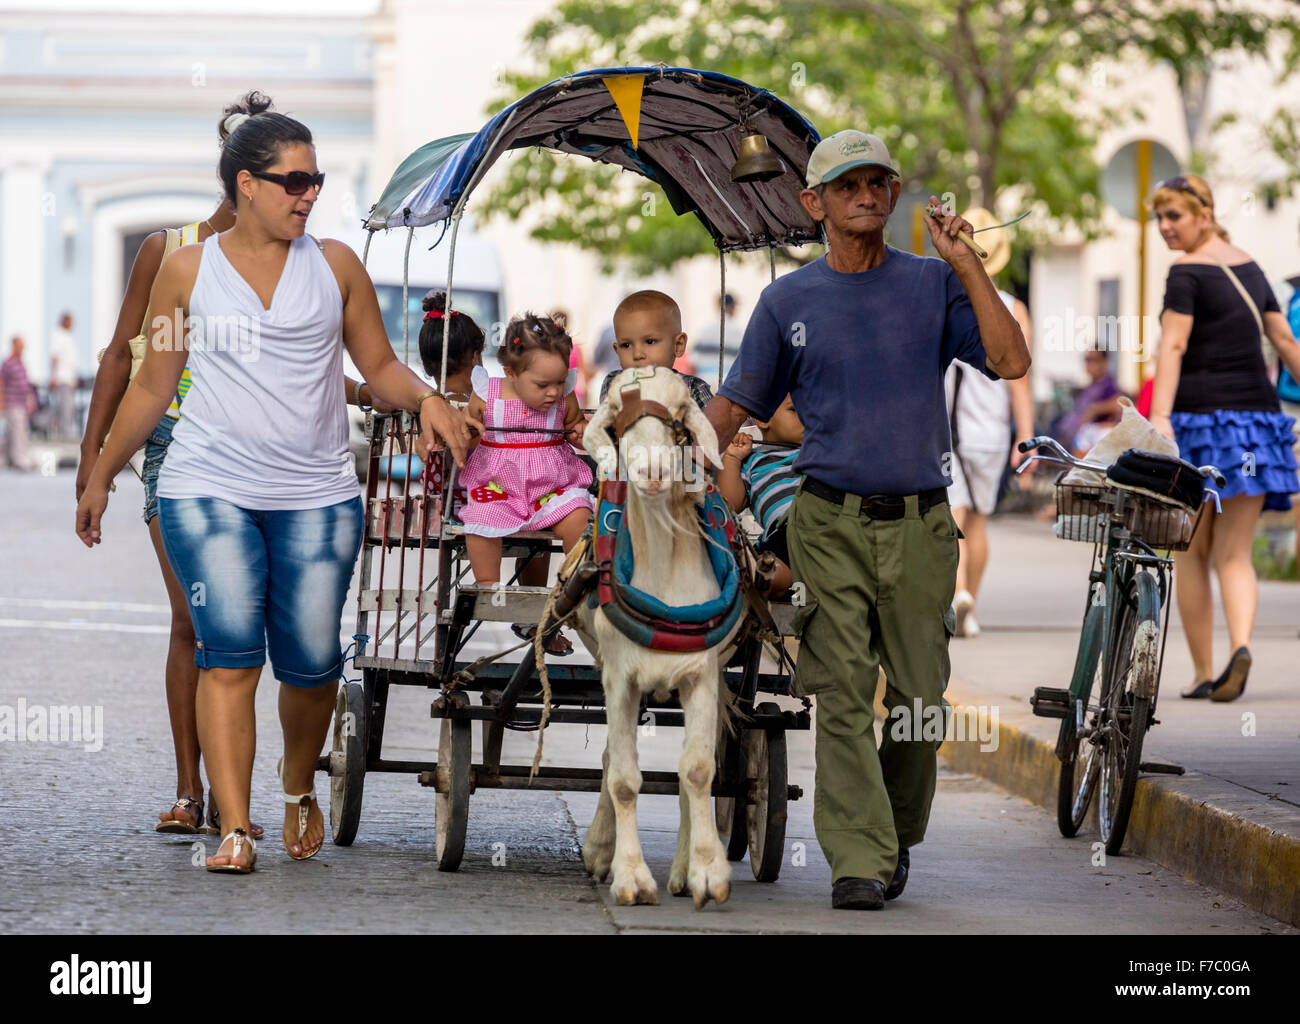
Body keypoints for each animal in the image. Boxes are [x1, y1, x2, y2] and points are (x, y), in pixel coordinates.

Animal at [577, 363, 748, 909]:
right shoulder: (620, 679)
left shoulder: (703, 675)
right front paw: (630, 876)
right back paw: (600, 850)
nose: (652, 471)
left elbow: (696, 771)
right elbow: (624, 778)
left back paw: (681, 870)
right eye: (615, 413)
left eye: (680, 416)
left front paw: (707, 872)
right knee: (611, 759)